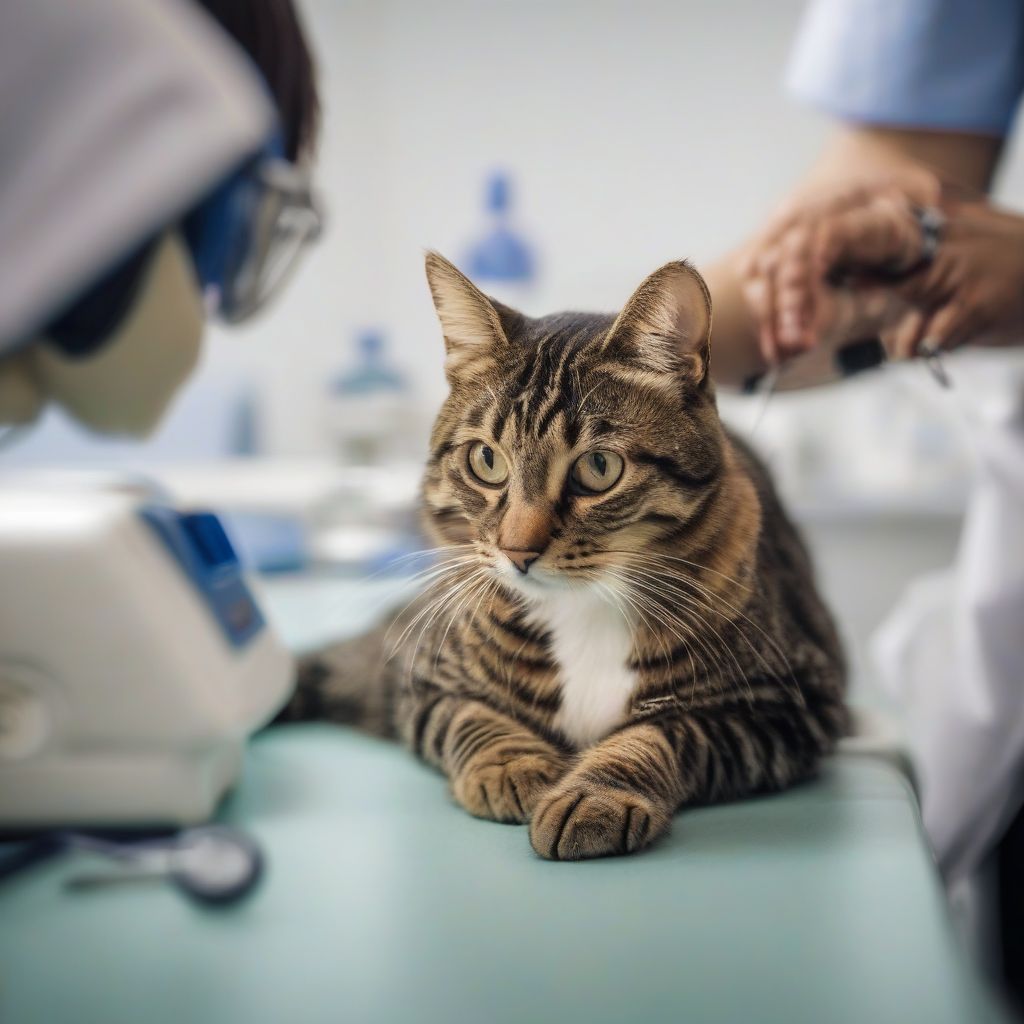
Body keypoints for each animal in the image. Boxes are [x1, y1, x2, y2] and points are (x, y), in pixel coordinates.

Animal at [280, 251, 847, 860]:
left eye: (598, 468)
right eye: (486, 460)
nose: (517, 550)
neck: (585, 609)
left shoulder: (792, 705)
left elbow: (671, 733)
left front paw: (596, 794)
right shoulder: (424, 683)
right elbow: (472, 718)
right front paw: (513, 766)